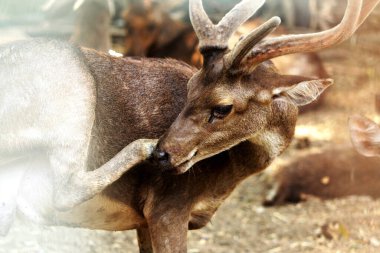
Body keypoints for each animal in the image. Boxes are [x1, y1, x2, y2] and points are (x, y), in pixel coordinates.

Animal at [0, 0, 378, 253]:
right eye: (190, 86)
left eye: (223, 107)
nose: (163, 155)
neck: (225, 179)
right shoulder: (166, 207)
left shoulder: (143, 221)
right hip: (73, 83)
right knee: (65, 186)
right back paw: (140, 145)